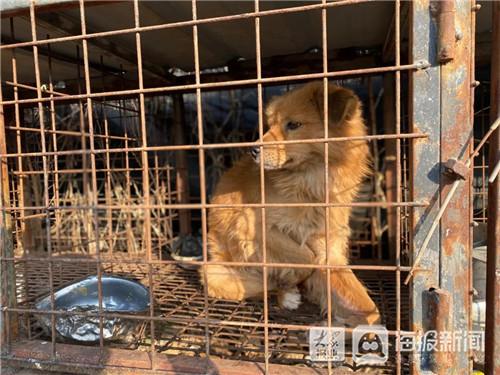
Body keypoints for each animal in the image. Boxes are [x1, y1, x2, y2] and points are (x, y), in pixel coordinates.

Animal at [201, 81, 380, 326]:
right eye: (271, 125)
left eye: (293, 125)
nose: (252, 150)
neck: (311, 185)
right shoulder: (251, 227)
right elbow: (306, 258)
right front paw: (289, 284)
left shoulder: (330, 251)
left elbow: (370, 310)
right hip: (213, 272)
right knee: (262, 286)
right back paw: (284, 293)